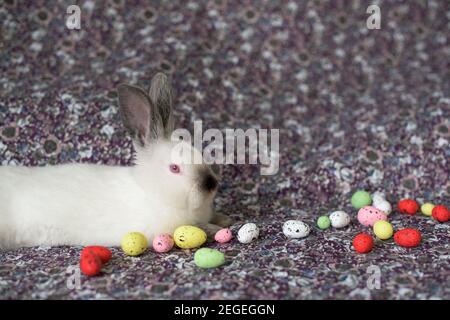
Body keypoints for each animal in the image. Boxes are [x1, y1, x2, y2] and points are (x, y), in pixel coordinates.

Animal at [0, 73, 232, 250]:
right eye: (174, 168)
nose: (211, 184)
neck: (154, 193)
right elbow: (201, 228)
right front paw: (219, 228)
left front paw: (225, 219)